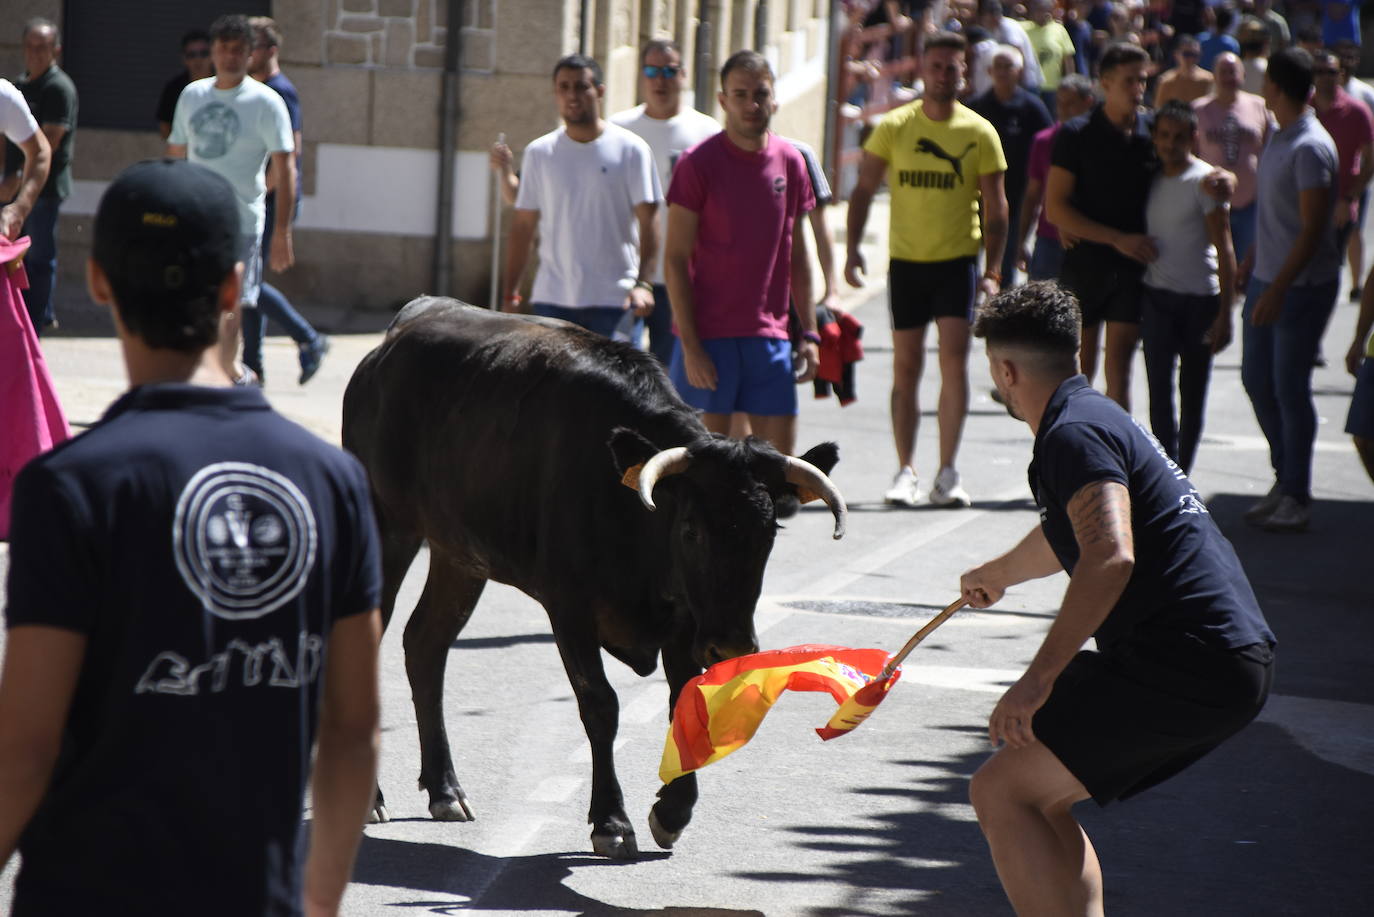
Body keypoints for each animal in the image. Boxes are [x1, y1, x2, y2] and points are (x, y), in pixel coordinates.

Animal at [338, 298, 840, 857]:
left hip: (458, 553)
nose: (730, 645)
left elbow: (684, 699)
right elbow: (600, 704)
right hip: (388, 530)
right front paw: (611, 821)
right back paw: (372, 798)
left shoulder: (687, 619)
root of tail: (398, 333)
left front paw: (673, 810)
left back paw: (445, 789)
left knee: (425, 644)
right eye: (690, 530)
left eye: (769, 530)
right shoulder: (569, 605)